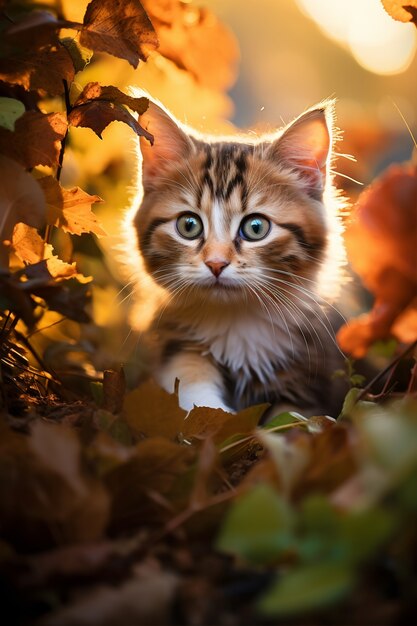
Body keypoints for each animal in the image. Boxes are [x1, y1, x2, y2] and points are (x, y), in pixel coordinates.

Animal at [128, 97, 346, 414]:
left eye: (256, 228)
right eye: (189, 225)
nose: (216, 264)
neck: (235, 323)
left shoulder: (311, 376)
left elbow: (294, 417)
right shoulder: (174, 342)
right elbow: (189, 385)